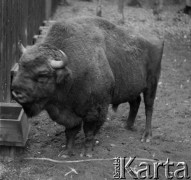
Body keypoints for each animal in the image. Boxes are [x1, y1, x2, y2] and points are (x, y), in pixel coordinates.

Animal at [11, 16, 163, 158]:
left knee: (149, 107)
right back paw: (127, 126)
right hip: (131, 87)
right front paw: (66, 152)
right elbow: (70, 131)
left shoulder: (96, 110)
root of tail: (156, 38)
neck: (70, 74)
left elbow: (89, 131)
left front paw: (87, 153)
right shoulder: (69, 113)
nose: (17, 93)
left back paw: (146, 136)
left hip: (152, 84)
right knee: (135, 102)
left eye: (43, 74)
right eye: (20, 65)